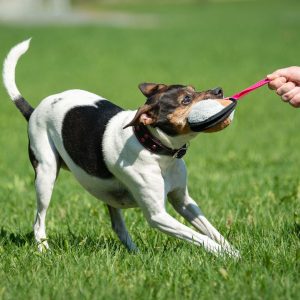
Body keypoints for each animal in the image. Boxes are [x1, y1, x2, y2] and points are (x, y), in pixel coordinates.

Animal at [2, 38, 239, 256]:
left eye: (193, 89)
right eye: (186, 99)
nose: (219, 90)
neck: (155, 149)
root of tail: (34, 110)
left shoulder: (184, 201)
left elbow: (211, 231)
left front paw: (233, 251)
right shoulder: (158, 216)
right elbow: (200, 237)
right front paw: (226, 255)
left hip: (107, 194)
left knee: (118, 227)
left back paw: (136, 253)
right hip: (46, 174)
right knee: (38, 220)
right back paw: (44, 250)